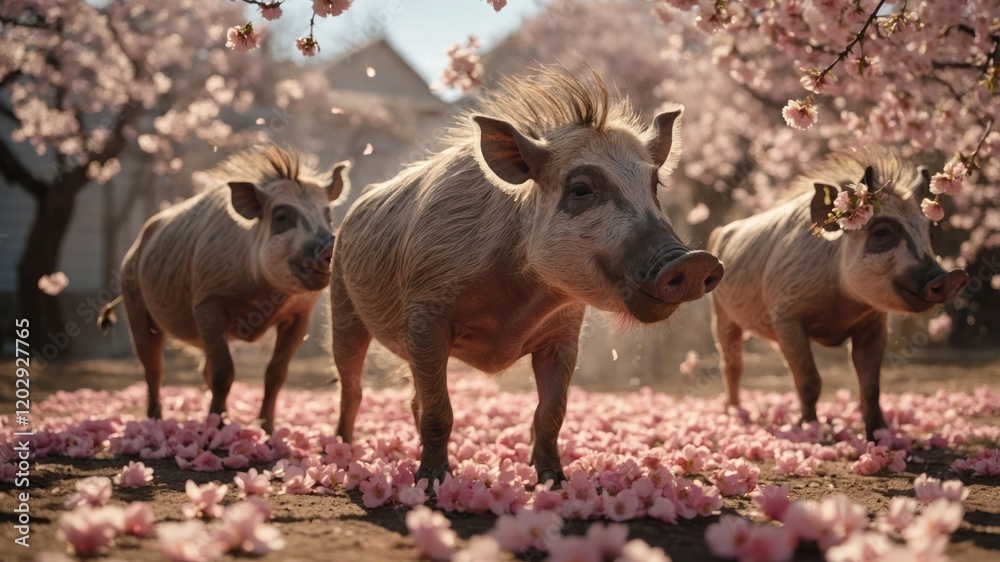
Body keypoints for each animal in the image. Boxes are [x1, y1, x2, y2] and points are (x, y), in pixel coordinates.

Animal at [98, 145, 350, 433]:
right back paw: (156, 421)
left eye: (328, 216)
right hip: (134, 301)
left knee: (201, 368)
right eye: (282, 217)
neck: (262, 293)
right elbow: (223, 372)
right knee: (152, 367)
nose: (330, 244)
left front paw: (267, 431)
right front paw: (216, 430)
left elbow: (275, 373)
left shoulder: (300, 314)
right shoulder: (208, 301)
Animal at [331, 71, 724, 486]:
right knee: (352, 387)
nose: (696, 261)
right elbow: (441, 410)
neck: (518, 300)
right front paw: (434, 482)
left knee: (410, 398)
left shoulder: (564, 334)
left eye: (655, 186)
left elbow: (552, 412)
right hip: (341, 303)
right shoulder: (425, 315)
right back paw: (343, 452)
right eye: (581, 188)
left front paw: (555, 481)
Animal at [708, 148, 968, 440]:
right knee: (732, 364)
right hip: (721, 315)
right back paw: (735, 413)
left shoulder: (875, 324)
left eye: (930, 235)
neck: (841, 300)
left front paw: (878, 435)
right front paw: (810, 431)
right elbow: (809, 380)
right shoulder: (787, 317)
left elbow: (871, 386)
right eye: (881, 232)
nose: (954, 276)